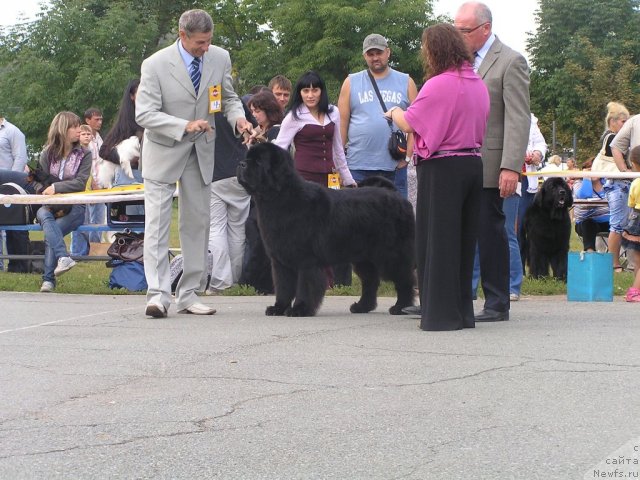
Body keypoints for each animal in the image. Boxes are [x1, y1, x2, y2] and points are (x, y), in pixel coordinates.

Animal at [236, 142, 416, 316]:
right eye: (248, 157)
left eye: (259, 162)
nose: (241, 164)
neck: (281, 197)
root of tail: (397, 195)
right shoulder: (281, 262)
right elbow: (283, 287)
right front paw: (278, 308)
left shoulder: (306, 260)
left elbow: (305, 286)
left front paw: (299, 309)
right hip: (363, 257)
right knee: (370, 281)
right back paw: (362, 306)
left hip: (391, 254)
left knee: (404, 280)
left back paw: (401, 307)